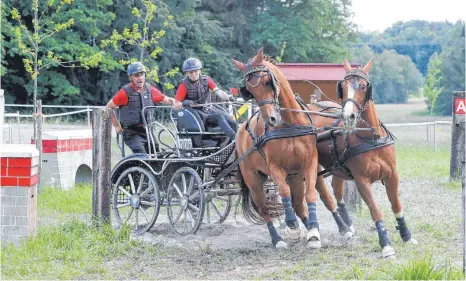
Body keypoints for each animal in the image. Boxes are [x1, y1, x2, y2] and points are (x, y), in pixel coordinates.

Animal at [232, 48, 350, 247]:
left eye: (267, 82)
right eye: (250, 91)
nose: (271, 119)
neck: (289, 123)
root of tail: (239, 130)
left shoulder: (309, 164)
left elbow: (310, 195)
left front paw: (314, 233)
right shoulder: (275, 167)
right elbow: (284, 192)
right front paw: (292, 224)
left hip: (295, 175)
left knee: (303, 203)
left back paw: (318, 228)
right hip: (253, 179)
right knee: (265, 209)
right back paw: (278, 239)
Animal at [312, 58, 416, 258]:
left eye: (362, 86)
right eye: (343, 87)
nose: (348, 116)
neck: (371, 138)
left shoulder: (392, 175)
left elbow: (396, 206)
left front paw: (407, 235)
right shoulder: (362, 181)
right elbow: (376, 211)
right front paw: (386, 245)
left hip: (338, 168)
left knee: (337, 192)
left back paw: (348, 226)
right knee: (321, 196)